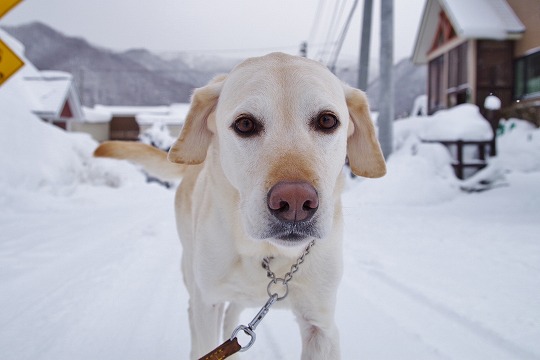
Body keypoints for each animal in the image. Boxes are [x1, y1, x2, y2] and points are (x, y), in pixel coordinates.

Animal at [95, 52, 386, 358]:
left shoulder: (321, 326)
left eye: (327, 120)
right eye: (245, 125)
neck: (267, 255)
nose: (295, 201)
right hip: (192, 276)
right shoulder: (208, 303)